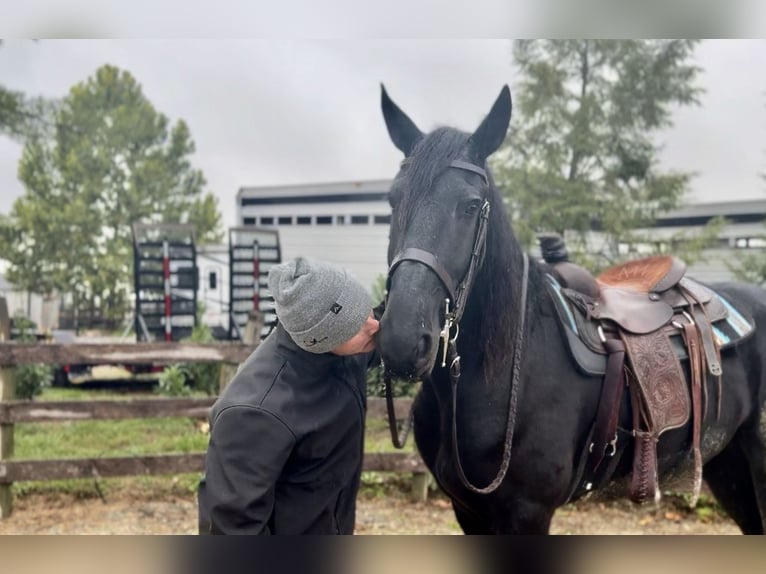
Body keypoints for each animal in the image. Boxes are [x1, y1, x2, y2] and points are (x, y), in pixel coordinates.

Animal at [376, 84, 766, 534]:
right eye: (392, 200)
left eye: (471, 205)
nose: (402, 339)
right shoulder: (467, 511)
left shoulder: (528, 512)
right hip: (728, 466)